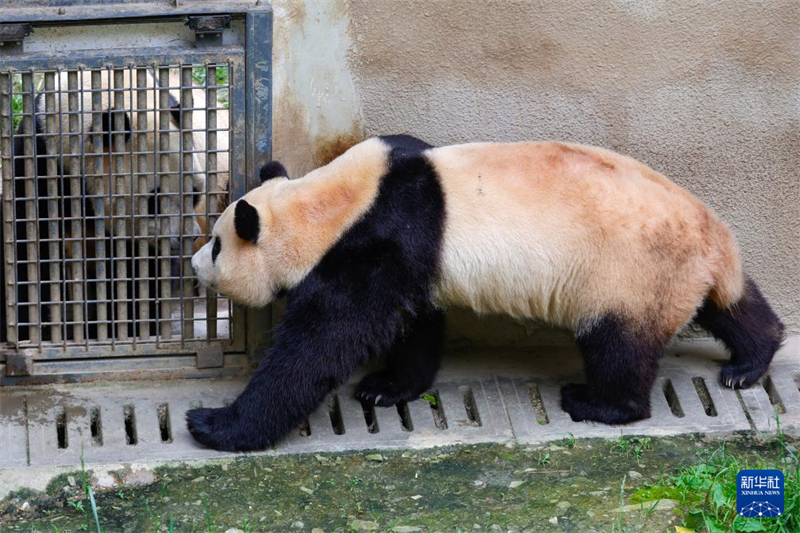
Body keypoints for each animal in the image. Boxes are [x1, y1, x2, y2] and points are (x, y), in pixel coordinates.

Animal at [187, 134, 785, 452]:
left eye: (216, 245)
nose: (191, 264)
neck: (333, 203)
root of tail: (711, 234)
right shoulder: (413, 253)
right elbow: (414, 322)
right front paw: (389, 388)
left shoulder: (381, 239)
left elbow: (321, 344)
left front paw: (215, 423)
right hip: (683, 273)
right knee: (730, 305)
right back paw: (750, 362)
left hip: (629, 273)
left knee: (620, 346)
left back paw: (596, 402)